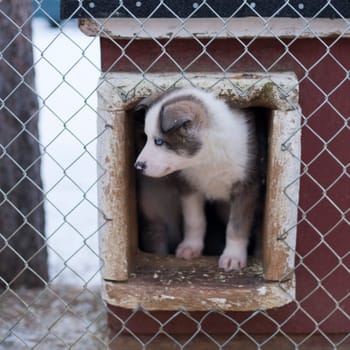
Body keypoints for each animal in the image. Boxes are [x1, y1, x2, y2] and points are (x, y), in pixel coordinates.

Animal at [134, 88, 260, 270]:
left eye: (159, 141)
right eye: (146, 138)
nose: (137, 166)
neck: (206, 159)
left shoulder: (247, 186)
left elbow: (237, 225)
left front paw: (233, 257)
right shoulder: (189, 187)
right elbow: (194, 220)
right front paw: (190, 247)